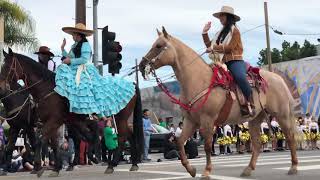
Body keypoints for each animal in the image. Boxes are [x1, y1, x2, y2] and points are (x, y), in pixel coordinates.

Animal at [0, 48, 144, 177]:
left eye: (7, 66)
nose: (2, 88)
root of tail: (132, 84)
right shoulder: (24, 126)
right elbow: (14, 147)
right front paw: (55, 168)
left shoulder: (44, 123)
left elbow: (39, 141)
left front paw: (38, 168)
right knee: (123, 136)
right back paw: (128, 164)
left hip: (119, 118)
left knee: (121, 137)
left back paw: (113, 164)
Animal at [139, 27, 298, 179]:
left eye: (159, 46)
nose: (141, 65)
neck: (199, 79)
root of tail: (279, 79)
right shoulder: (191, 121)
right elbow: (180, 142)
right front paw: (191, 170)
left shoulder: (207, 120)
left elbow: (208, 146)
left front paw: (207, 171)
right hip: (255, 119)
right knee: (257, 144)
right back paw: (248, 169)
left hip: (281, 114)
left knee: (290, 137)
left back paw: (293, 167)